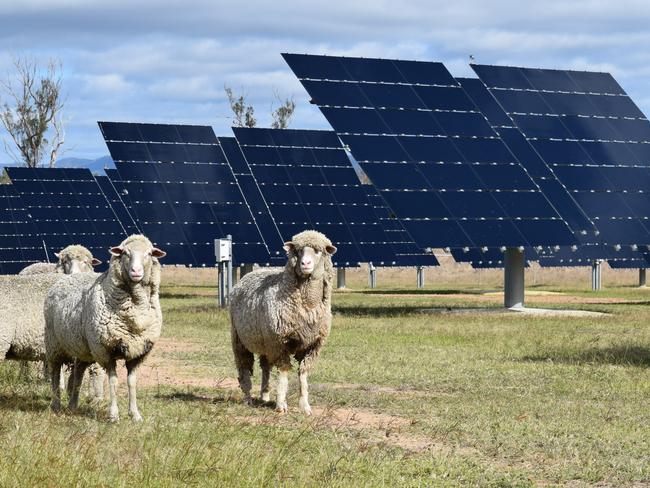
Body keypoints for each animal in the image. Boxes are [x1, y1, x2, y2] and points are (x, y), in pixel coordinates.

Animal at [43, 234, 165, 422]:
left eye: (149, 253)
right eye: (125, 253)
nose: (136, 272)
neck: (136, 310)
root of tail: (67, 278)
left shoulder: (137, 351)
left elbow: (132, 382)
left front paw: (135, 415)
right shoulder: (106, 350)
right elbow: (113, 381)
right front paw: (114, 415)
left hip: (83, 348)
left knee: (78, 374)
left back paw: (73, 405)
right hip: (54, 344)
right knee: (55, 373)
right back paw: (56, 405)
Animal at [228, 231, 336, 414]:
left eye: (318, 251)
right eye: (298, 251)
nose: (305, 263)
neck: (308, 304)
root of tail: (249, 274)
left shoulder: (312, 345)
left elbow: (303, 374)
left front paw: (305, 406)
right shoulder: (279, 343)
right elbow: (284, 373)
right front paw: (281, 404)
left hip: (264, 341)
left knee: (265, 367)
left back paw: (264, 395)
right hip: (240, 339)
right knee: (244, 367)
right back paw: (248, 398)